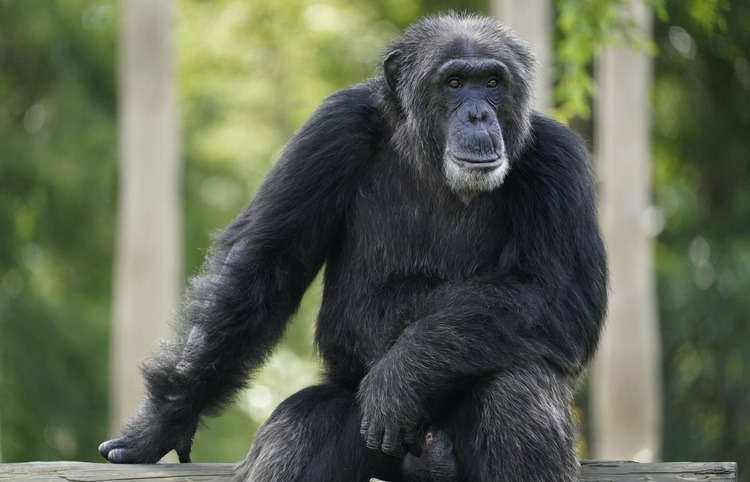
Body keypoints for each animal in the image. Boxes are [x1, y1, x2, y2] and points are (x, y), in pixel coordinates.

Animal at [97, 12, 608, 482]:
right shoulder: (331, 129)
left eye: (493, 82)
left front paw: (403, 374)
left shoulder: (558, 161)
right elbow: (262, 263)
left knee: (515, 393)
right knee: (302, 431)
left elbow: (561, 295)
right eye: (455, 82)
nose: (478, 113)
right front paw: (164, 422)